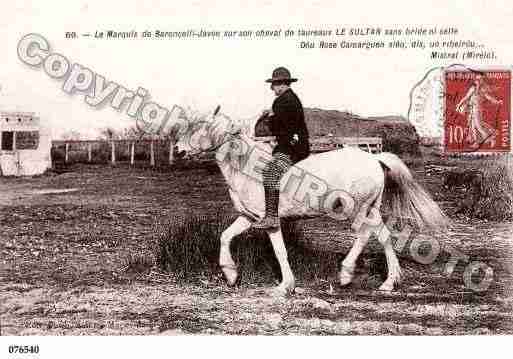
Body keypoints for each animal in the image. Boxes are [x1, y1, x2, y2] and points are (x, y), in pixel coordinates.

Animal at [174, 109, 446, 296]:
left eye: (199, 128)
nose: (177, 150)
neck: (245, 166)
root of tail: (374, 158)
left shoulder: (269, 221)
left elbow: (280, 251)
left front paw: (285, 286)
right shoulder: (249, 217)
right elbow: (225, 236)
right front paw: (230, 273)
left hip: (356, 209)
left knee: (363, 234)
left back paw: (346, 274)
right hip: (372, 208)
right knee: (383, 235)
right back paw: (389, 282)